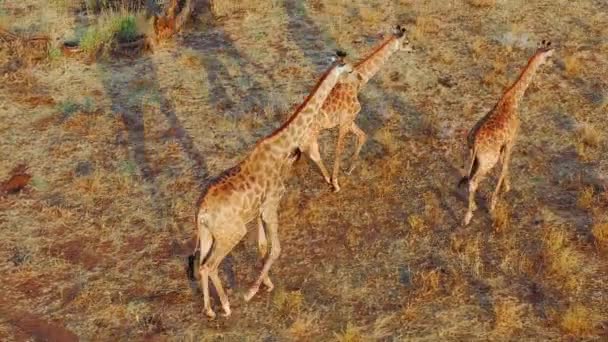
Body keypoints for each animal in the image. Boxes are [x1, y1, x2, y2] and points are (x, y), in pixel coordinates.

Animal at [188, 52, 354, 318]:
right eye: (347, 69)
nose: (355, 77)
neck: (281, 146)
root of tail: (202, 213)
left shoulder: (259, 211)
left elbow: (263, 246)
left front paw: (266, 283)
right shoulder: (271, 205)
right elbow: (275, 249)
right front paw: (251, 291)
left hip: (206, 235)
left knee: (202, 263)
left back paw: (209, 309)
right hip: (232, 233)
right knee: (209, 266)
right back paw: (226, 306)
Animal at [302, 26, 414, 192]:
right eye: (406, 42)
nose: (414, 48)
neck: (358, 82)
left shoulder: (350, 119)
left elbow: (363, 136)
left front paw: (349, 170)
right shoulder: (345, 121)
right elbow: (338, 151)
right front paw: (336, 183)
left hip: (310, 138)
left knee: (314, 155)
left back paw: (327, 179)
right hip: (311, 135)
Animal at [460, 40, 556, 226]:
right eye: (548, 56)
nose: (551, 65)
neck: (512, 100)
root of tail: (475, 142)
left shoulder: (504, 145)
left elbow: (504, 166)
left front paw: (505, 188)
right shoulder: (512, 139)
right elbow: (505, 166)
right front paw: (496, 200)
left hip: (473, 156)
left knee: (469, 177)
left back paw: (473, 206)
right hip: (488, 160)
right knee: (473, 181)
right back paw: (468, 216)